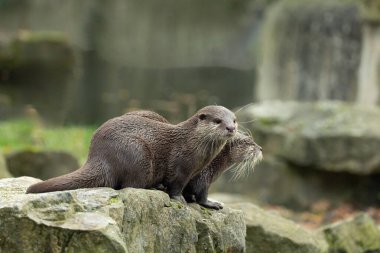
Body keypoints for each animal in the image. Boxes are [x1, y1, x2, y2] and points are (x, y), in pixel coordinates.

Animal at [26, 104, 238, 202]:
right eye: (218, 121)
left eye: (234, 119)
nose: (231, 128)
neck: (191, 142)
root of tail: (97, 156)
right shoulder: (180, 166)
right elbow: (176, 185)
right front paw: (179, 199)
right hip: (137, 152)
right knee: (129, 185)